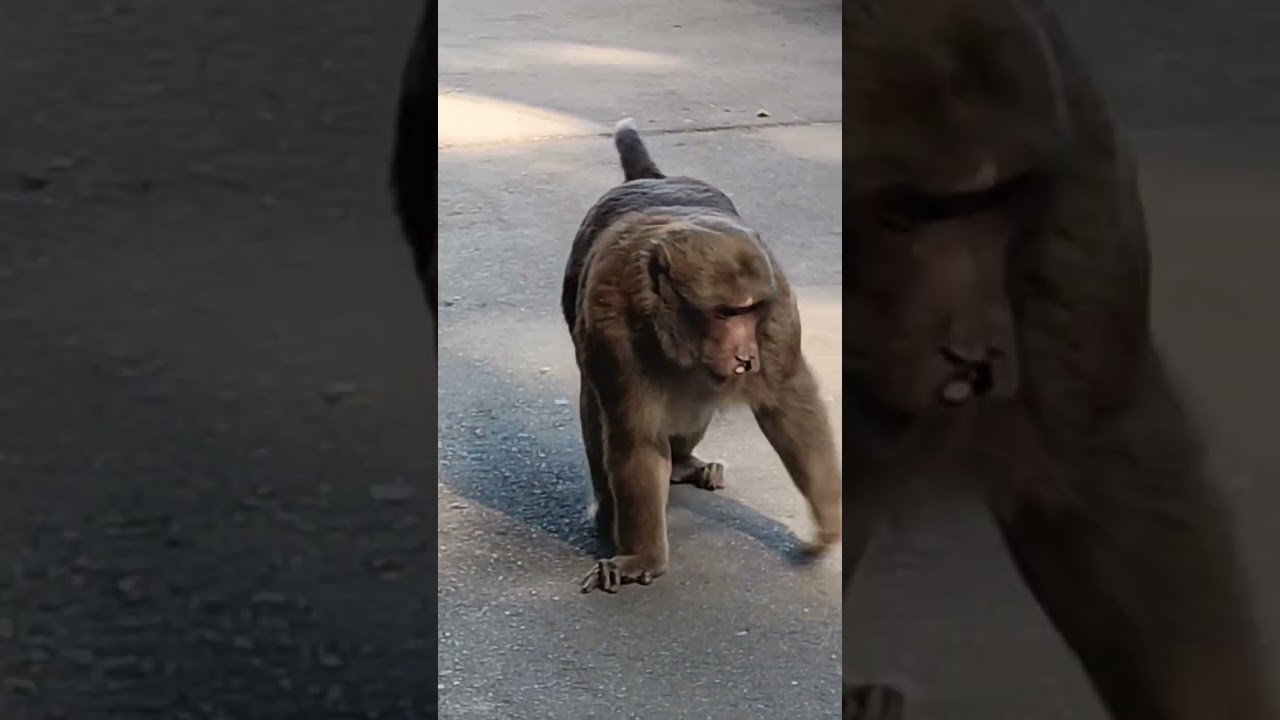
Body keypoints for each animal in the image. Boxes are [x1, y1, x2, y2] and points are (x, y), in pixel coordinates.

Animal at [562, 119, 843, 594]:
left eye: (750, 310)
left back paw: (685, 465)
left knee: (692, 409)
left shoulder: (778, 313)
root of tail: (654, 179)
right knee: (596, 410)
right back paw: (609, 506)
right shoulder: (612, 325)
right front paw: (642, 557)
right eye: (726, 313)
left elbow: (789, 403)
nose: (746, 355)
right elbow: (636, 434)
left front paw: (828, 525)